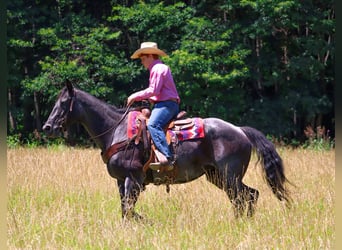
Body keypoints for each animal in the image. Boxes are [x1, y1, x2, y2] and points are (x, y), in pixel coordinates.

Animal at [42, 82, 292, 219]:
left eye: (63, 103)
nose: (48, 127)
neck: (116, 130)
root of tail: (240, 130)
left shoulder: (133, 178)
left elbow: (128, 210)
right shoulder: (120, 181)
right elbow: (125, 210)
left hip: (229, 176)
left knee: (244, 197)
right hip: (218, 176)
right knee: (248, 196)